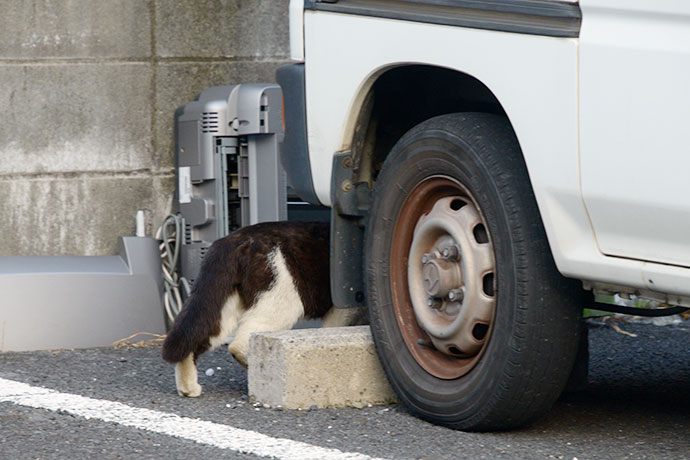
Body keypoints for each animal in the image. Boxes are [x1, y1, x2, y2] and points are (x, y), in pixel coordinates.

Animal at [161, 221, 366, 398]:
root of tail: (232, 239)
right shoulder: (344, 306)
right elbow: (335, 327)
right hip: (282, 300)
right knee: (240, 342)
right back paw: (259, 371)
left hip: (225, 306)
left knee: (195, 337)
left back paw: (188, 388)